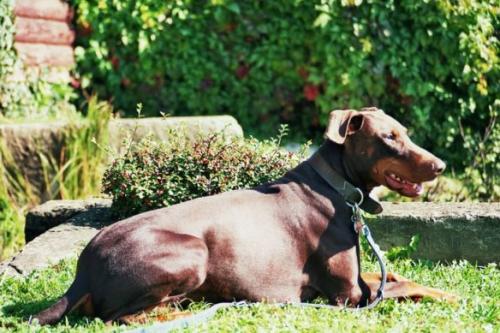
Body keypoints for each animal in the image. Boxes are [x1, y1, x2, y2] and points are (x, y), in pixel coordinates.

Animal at [33, 107, 458, 324]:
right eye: (389, 138)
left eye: (404, 131)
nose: (441, 165)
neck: (335, 185)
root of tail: (82, 272)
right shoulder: (347, 296)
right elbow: (399, 288)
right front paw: (448, 294)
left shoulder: (353, 284)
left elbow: (397, 278)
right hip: (193, 251)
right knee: (116, 318)